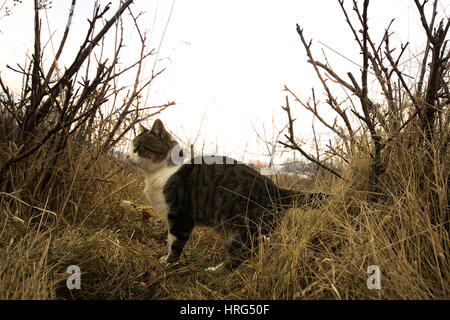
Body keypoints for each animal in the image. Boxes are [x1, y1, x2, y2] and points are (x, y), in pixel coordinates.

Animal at [128, 119, 326, 274]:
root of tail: (277, 190)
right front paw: (164, 258)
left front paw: (167, 263)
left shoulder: (181, 216)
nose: (129, 157)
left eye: (139, 148)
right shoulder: (171, 218)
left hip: (245, 230)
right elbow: (169, 239)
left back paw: (215, 272)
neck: (160, 173)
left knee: (241, 255)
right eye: (132, 147)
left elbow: (175, 242)